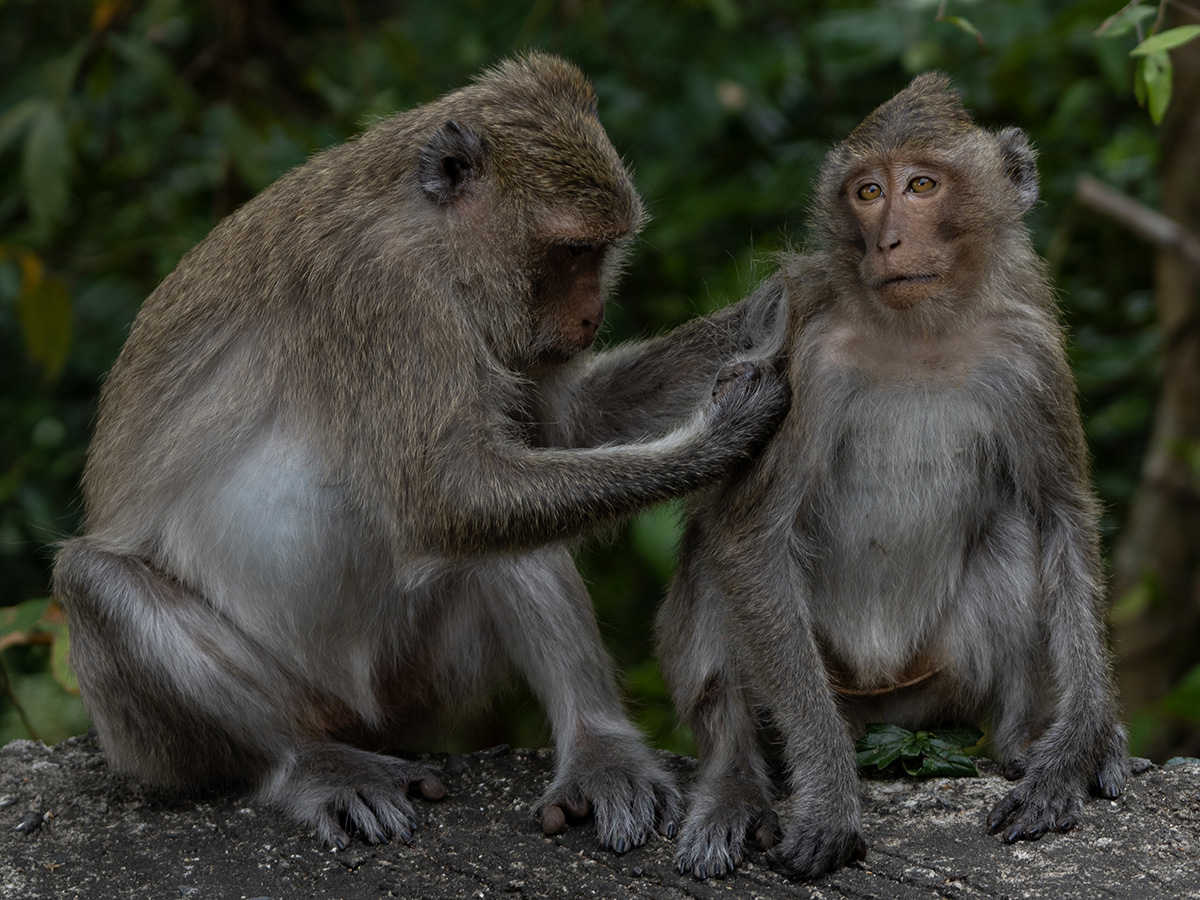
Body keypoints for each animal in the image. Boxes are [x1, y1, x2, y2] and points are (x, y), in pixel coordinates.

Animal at [56, 52, 792, 854]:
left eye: (602, 251)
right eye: (574, 251)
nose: (591, 316)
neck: (425, 234)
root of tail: (361, 715)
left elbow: (558, 432)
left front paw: (774, 303)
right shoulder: (385, 299)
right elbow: (448, 497)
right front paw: (719, 437)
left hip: (428, 680)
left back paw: (599, 750)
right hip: (182, 732)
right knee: (94, 582)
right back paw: (311, 762)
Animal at [662, 75, 1128, 883]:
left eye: (921, 186)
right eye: (869, 191)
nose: (887, 240)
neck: (922, 333)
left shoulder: (1028, 352)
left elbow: (1061, 514)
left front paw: (1075, 750)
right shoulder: (807, 362)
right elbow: (752, 536)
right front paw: (829, 803)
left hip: (935, 686)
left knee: (1016, 526)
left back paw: (1019, 740)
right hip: (832, 688)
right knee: (716, 548)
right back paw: (734, 783)